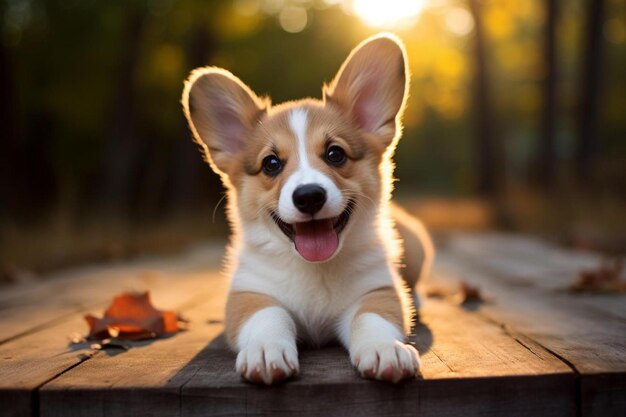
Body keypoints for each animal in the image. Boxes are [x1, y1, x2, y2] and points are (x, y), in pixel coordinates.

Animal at [183, 32, 432, 384]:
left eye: (335, 154)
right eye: (271, 163)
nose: (309, 196)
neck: (314, 268)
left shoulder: (376, 289)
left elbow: (372, 318)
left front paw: (386, 350)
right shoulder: (249, 294)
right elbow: (268, 315)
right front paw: (265, 351)